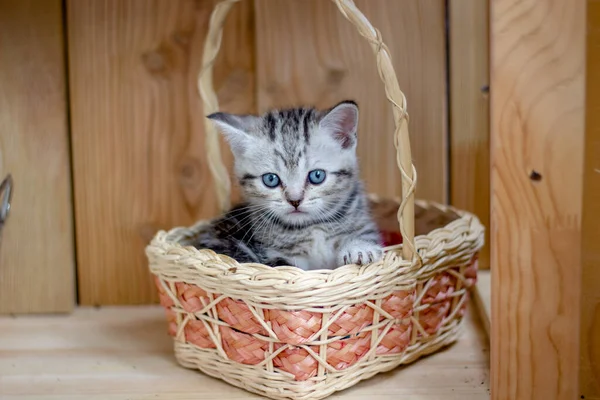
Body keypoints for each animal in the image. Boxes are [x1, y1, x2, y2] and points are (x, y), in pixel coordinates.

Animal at [192, 99, 384, 272]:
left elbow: (363, 234)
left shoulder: (362, 221)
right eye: (270, 179)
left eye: (317, 176)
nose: (295, 200)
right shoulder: (273, 253)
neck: (312, 227)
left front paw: (359, 247)